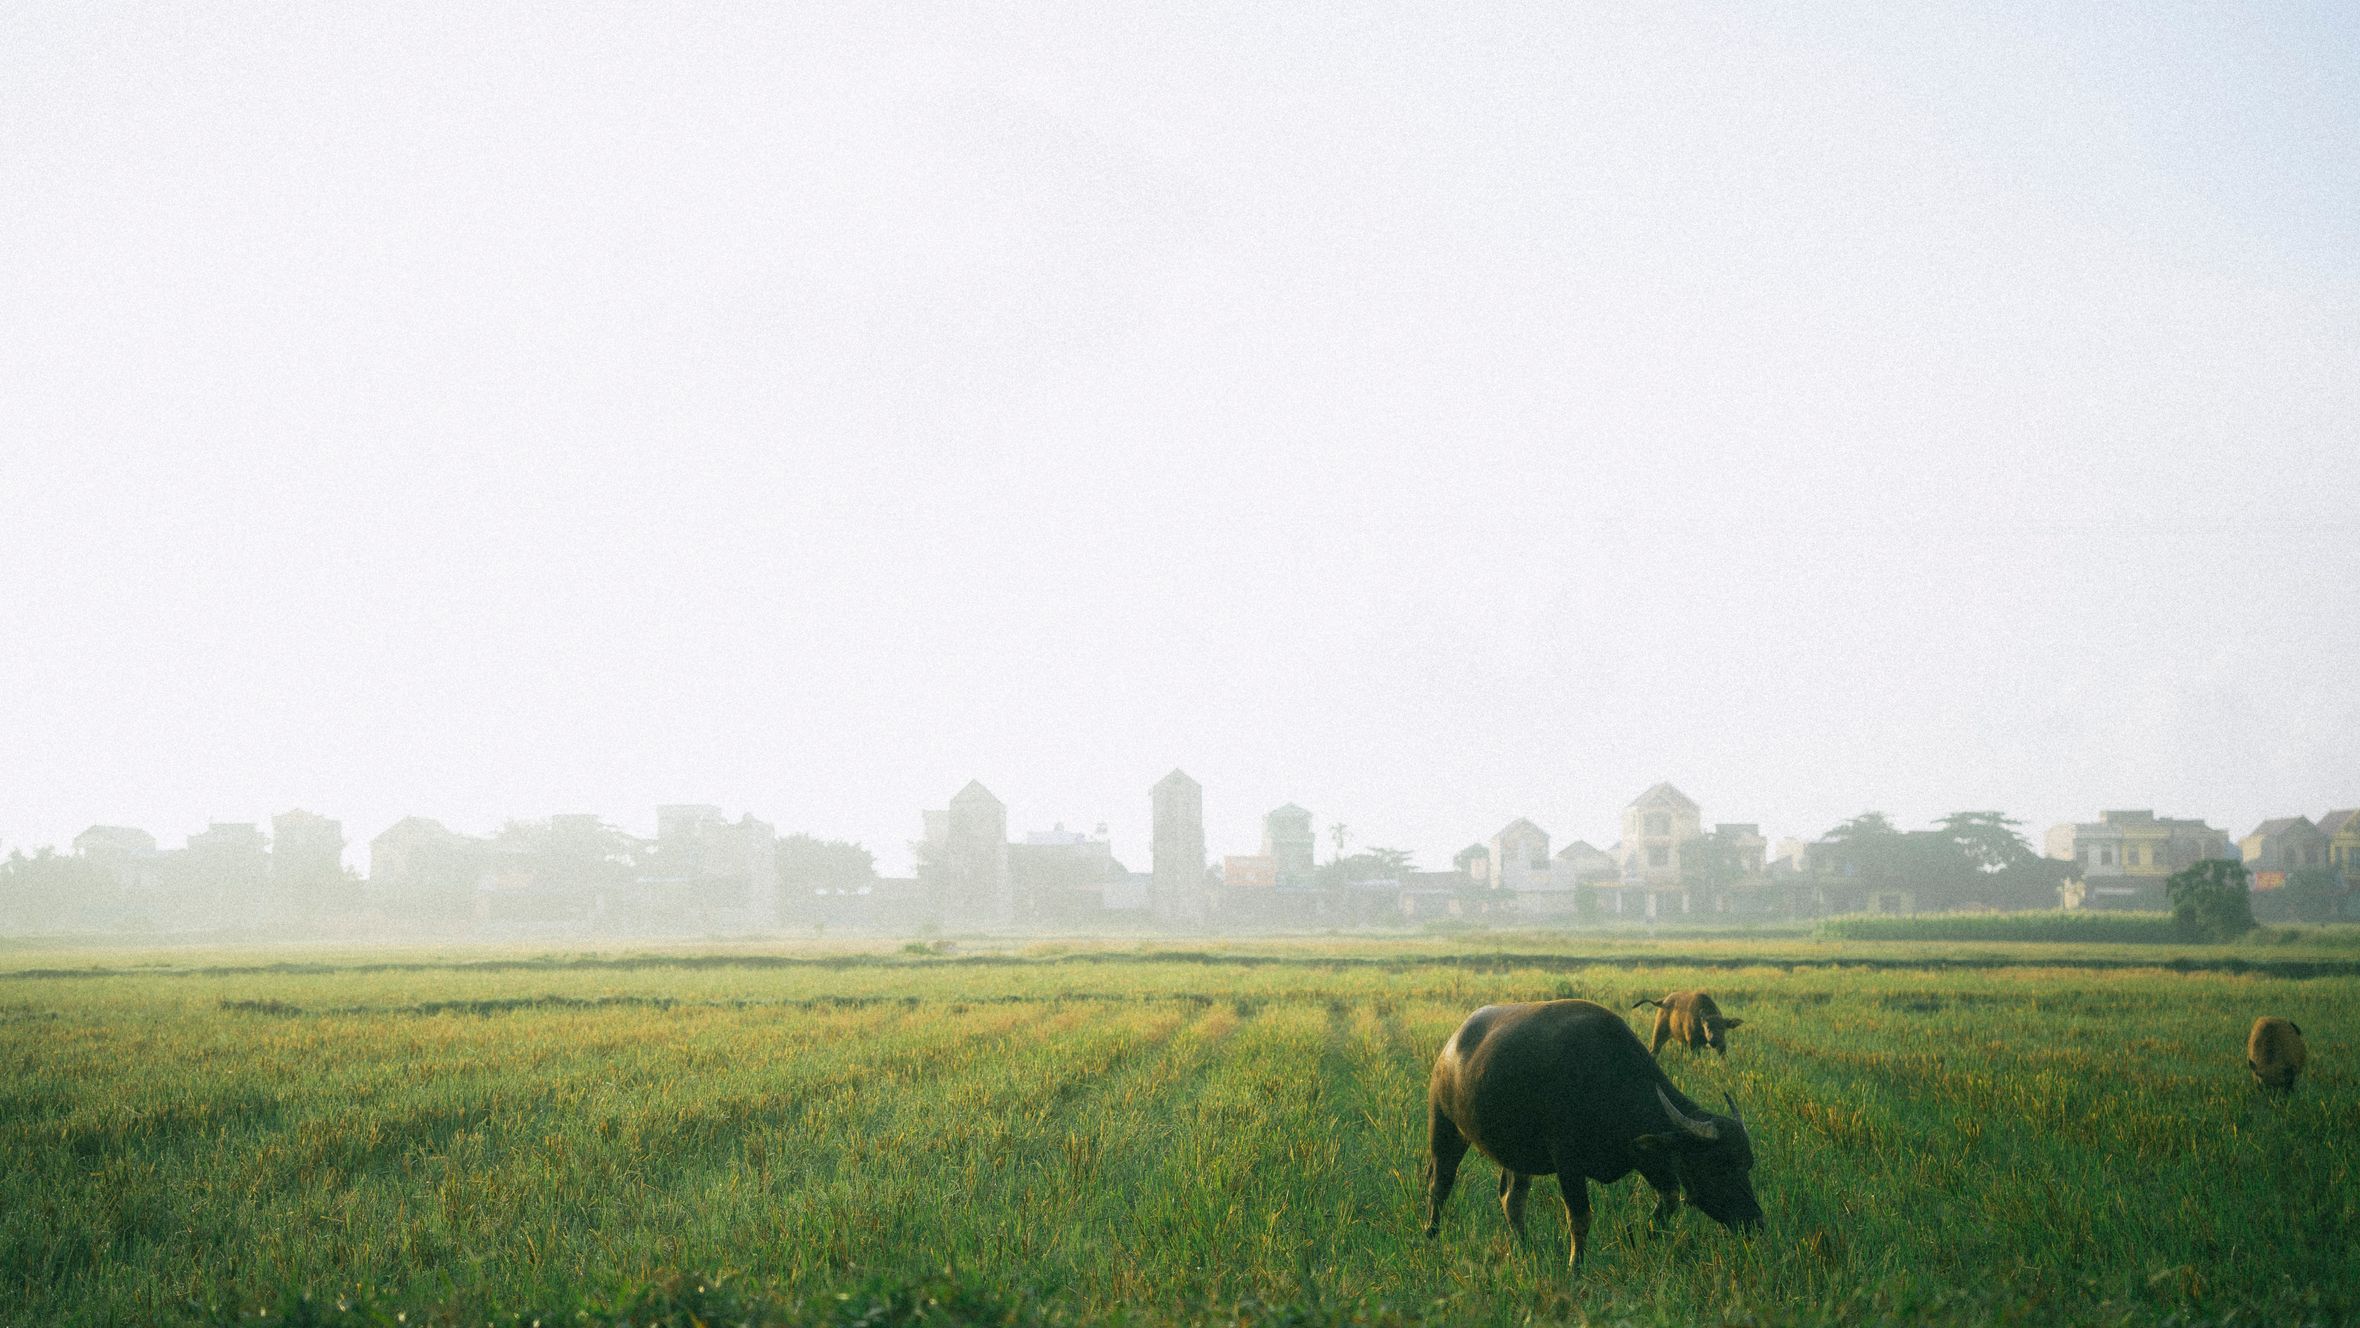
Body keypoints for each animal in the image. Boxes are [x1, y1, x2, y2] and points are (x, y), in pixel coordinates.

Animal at [1425, 998, 1762, 1267]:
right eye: (1717, 1166)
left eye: (1747, 1165)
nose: (1756, 1221)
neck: (1610, 1079)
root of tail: (1449, 1048)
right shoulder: (1567, 1162)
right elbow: (1580, 1217)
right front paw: (1577, 1266)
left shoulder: (1647, 1156)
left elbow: (1670, 1198)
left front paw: (1639, 1237)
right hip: (1445, 1129)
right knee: (1440, 1185)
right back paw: (1431, 1235)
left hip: (1518, 1155)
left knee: (1512, 1199)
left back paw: (1526, 1247)